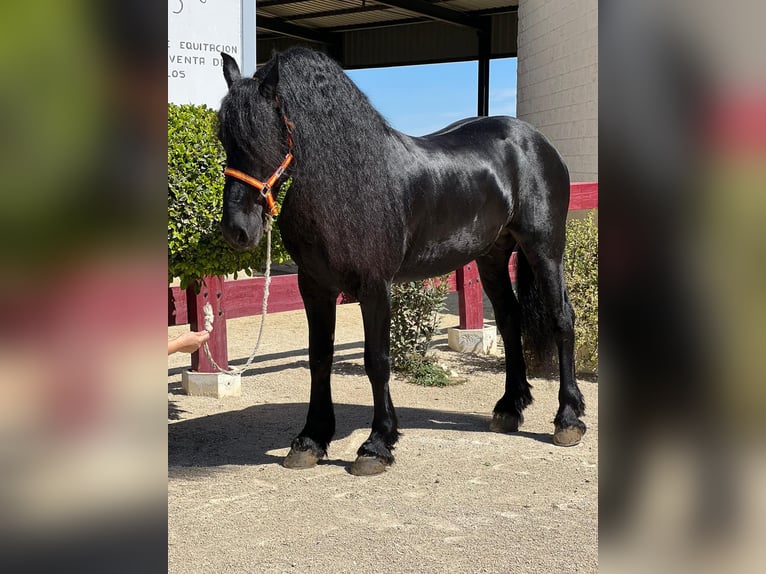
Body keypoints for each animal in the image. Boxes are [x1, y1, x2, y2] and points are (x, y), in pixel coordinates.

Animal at [217, 48, 586, 476]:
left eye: (266, 136)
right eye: (224, 137)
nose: (237, 230)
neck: (348, 184)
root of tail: (535, 140)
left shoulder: (375, 286)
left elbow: (376, 360)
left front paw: (376, 444)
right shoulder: (314, 286)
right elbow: (320, 357)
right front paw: (311, 439)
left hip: (544, 247)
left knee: (561, 318)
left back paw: (568, 419)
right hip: (492, 256)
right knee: (510, 319)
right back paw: (509, 408)